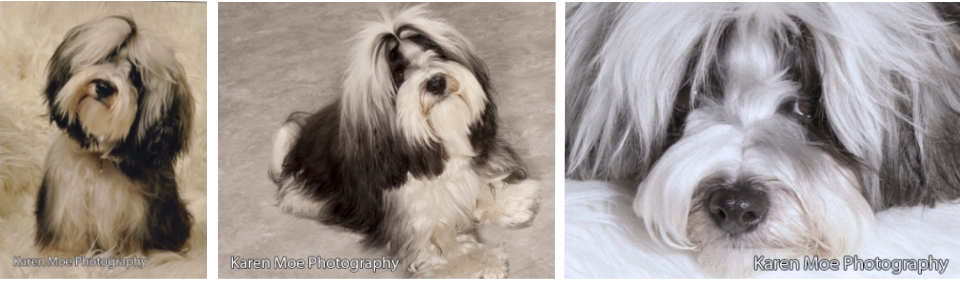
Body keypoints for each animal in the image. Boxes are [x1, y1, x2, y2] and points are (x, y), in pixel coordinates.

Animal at [34, 15, 196, 255]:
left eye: (136, 77)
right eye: (107, 58)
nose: (103, 86)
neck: (101, 157)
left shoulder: (142, 214)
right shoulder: (66, 204)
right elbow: (70, 239)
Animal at [270, 5, 540, 278]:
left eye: (436, 54)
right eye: (399, 74)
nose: (436, 82)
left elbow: (485, 182)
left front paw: (512, 202)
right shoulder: (414, 216)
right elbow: (442, 243)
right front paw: (480, 261)